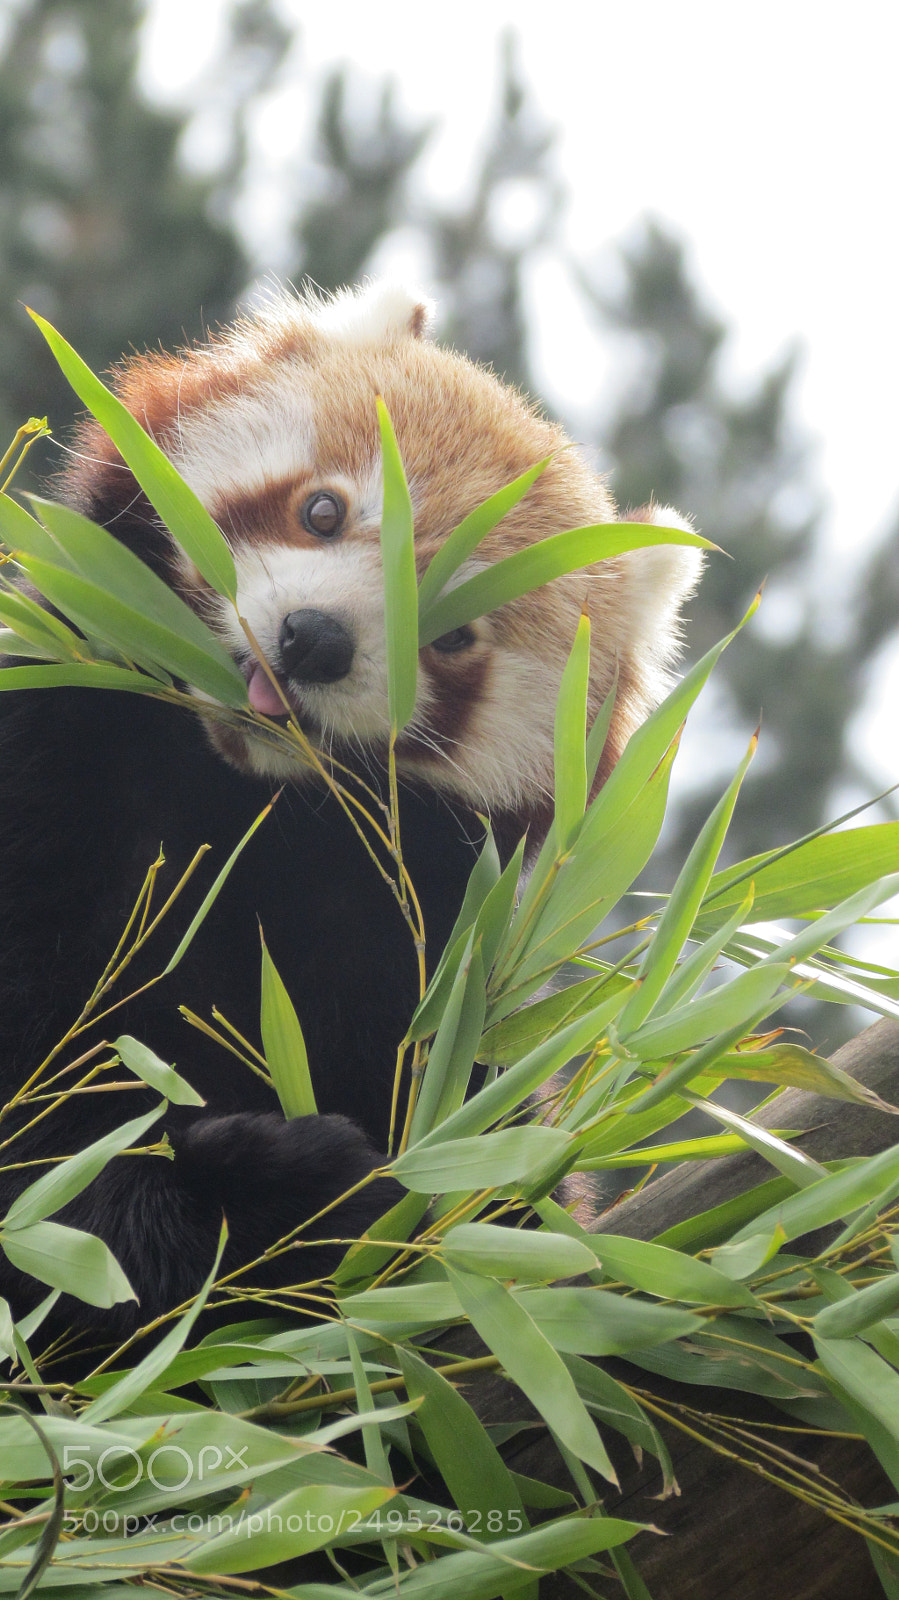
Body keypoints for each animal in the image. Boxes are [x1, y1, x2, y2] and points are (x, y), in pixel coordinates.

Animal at [0, 281, 701, 1342]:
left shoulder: (419, 952)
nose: (315, 639)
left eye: (451, 637)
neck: (244, 797)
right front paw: (246, 1202)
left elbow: (485, 1149)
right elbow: (48, 1109)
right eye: (322, 511)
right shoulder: (53, 769)